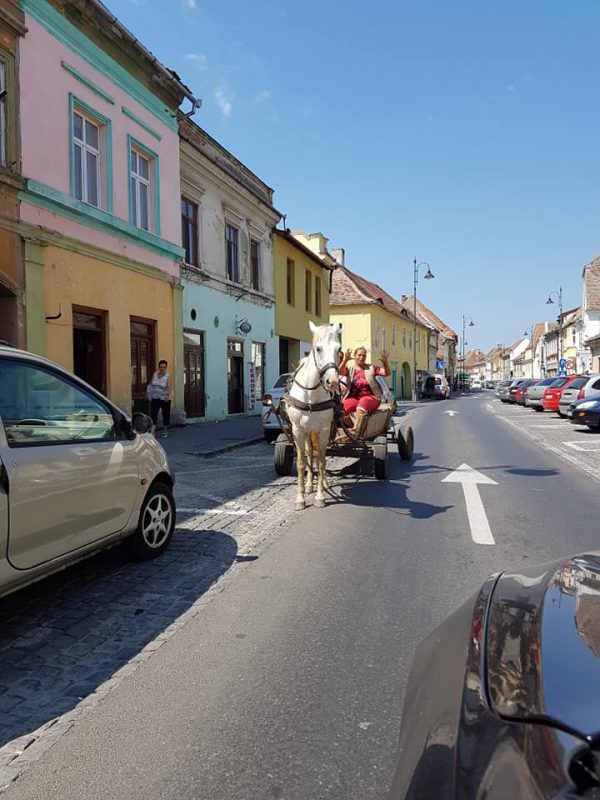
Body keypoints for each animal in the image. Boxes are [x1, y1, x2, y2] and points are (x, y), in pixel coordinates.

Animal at [288, 318, 342, 506]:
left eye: (339, 349)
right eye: (318, 349)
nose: (333, 382)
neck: (310, 395)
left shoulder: (324, 430)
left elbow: (321, 461)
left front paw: (320, 496)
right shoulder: (298, 431)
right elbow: (302, 463)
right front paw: (300, 498)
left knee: (319, 455)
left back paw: (323, 483)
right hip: (307, 432)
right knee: (310, 453)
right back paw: (310, 485)